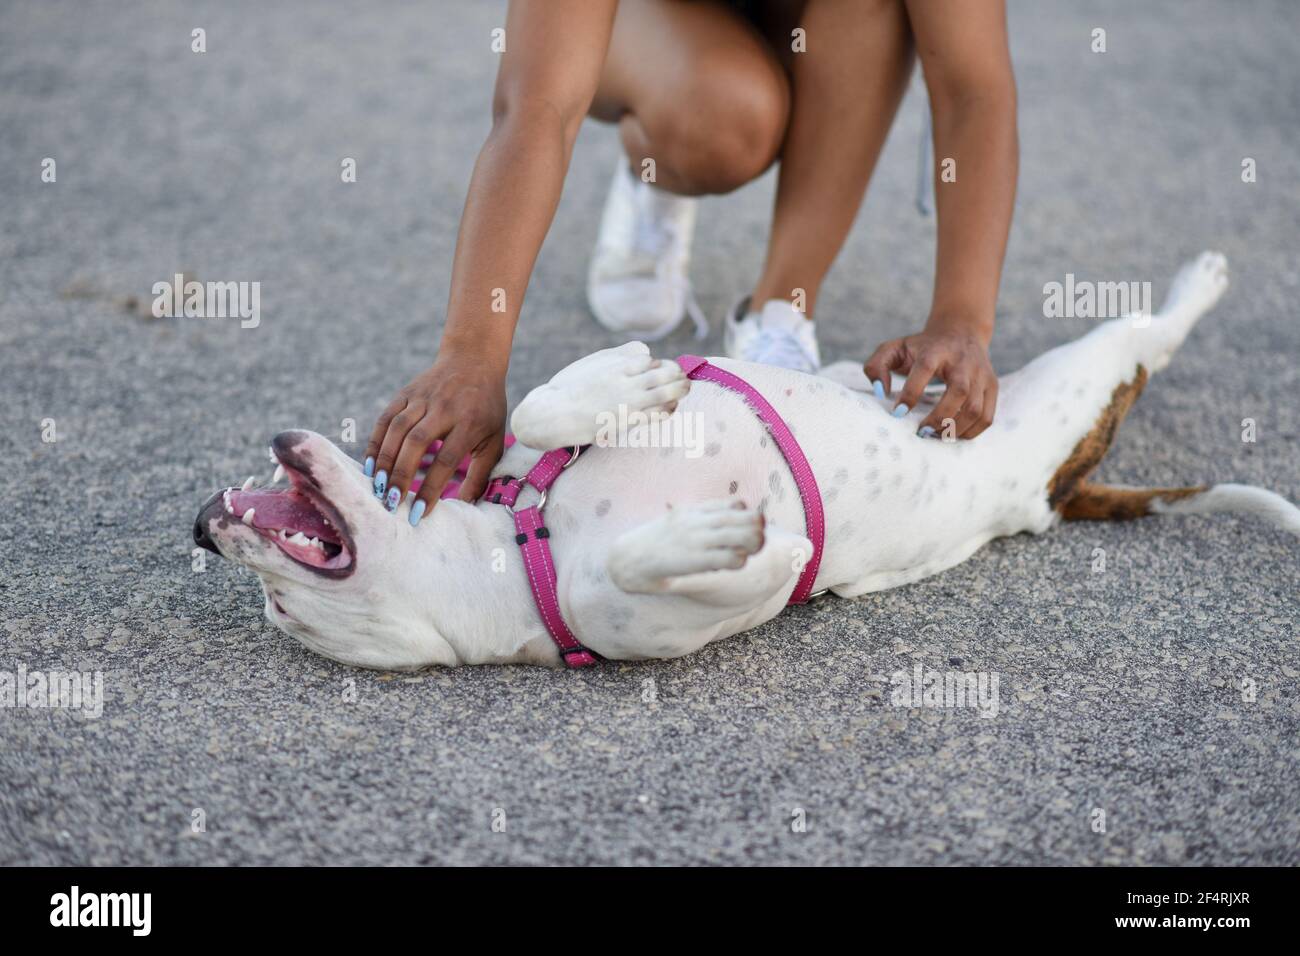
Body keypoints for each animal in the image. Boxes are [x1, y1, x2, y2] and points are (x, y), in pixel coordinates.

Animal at [192, 254, 1300, 671]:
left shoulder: (520, 436)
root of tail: (1060, 492)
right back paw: (1201, 283)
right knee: (1141, 343)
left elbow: (548, 401)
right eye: (283, 611)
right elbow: (734, 560)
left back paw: (1201, 277)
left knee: (1145, 333)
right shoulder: (653, 622)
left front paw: (640, 382)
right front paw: (718, 537)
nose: (201, 523)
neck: (521, 541)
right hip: (1063, 401)